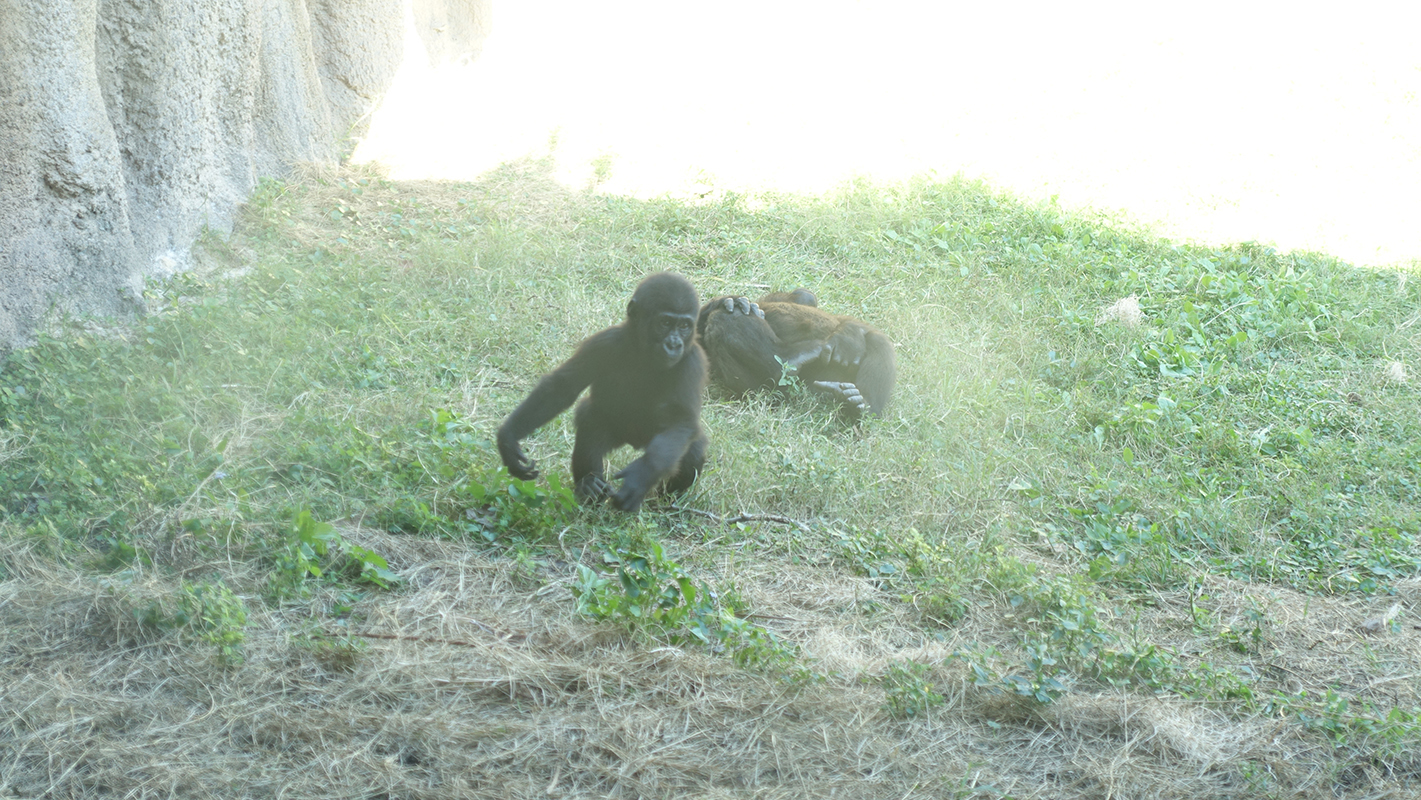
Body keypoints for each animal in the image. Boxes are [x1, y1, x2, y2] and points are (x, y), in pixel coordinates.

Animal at [497, 272, 708, 512]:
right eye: (664, 323)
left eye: (684, 325)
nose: (674, 344)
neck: (642, 350)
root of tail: (635, 443)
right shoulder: (605, 342)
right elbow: (561, 387)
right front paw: (508, 438)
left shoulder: (692, 361)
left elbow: (680, 421)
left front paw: (642, 475)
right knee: (590, 421)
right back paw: (588, 485)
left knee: (692, 452)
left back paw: (666, 505)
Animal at [697, 288, 895, 418]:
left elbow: (804, 296)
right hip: (766, 391)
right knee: (723, 319)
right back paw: (790, 360)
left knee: (877, 342)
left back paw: (863, 405)